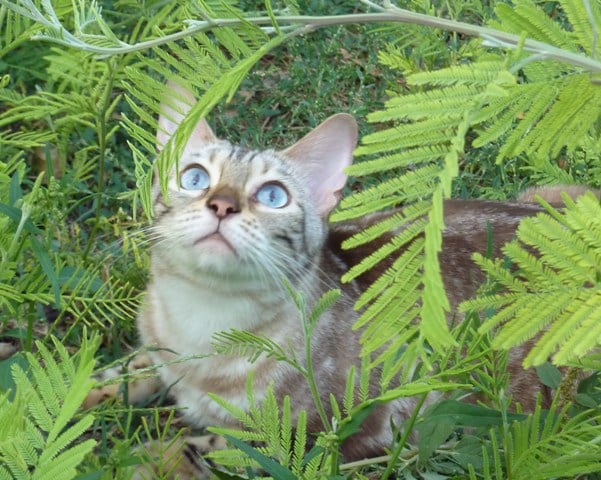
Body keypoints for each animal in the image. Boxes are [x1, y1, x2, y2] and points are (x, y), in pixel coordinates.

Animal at [96, 82, 588, 476]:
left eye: (272, 195)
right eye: (195, 177)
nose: (222, 204)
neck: (201, 321)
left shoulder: (306, 436)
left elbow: (198, 447)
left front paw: (135, 461)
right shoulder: (155, 352)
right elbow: (113, 374)